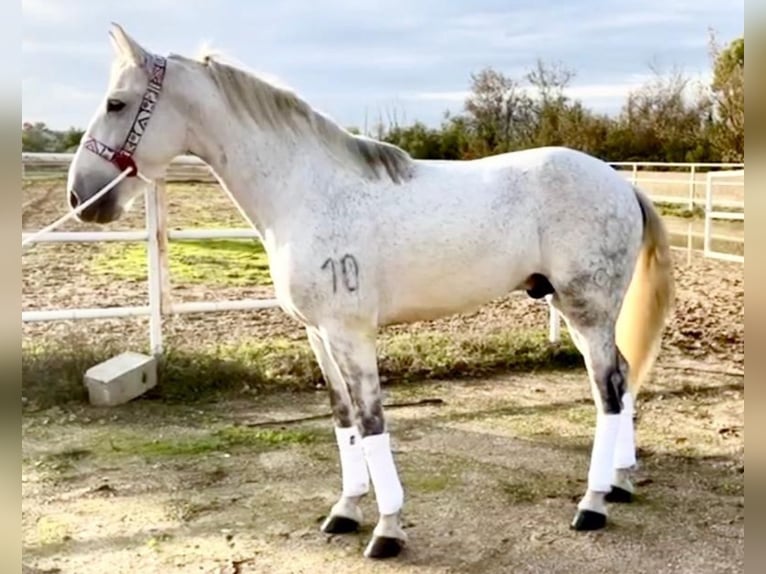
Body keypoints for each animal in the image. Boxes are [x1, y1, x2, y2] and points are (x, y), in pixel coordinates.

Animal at [67, 24, 680, 560]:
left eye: (117, 103)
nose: (80, 197)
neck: (306, 191)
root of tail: (620, 182)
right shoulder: (318, 335)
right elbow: (343, 420)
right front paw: (345, 511)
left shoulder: (351, 334)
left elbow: (371, 422)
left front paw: (387, 530)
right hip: (578, 310)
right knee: (624, 378)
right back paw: (621, 482)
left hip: (586, 310)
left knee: (608, 392)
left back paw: (593, 504)